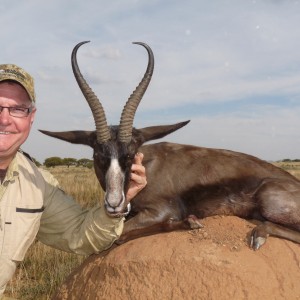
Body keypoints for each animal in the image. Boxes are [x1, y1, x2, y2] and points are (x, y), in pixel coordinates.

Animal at [40, 40, 300, 251]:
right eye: (98, 156)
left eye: (130, 154)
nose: (114, 205)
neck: (147, 169)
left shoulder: (160, 211)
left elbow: (121, 236)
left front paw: (190, 222)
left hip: (268, 199)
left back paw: (258, 235)